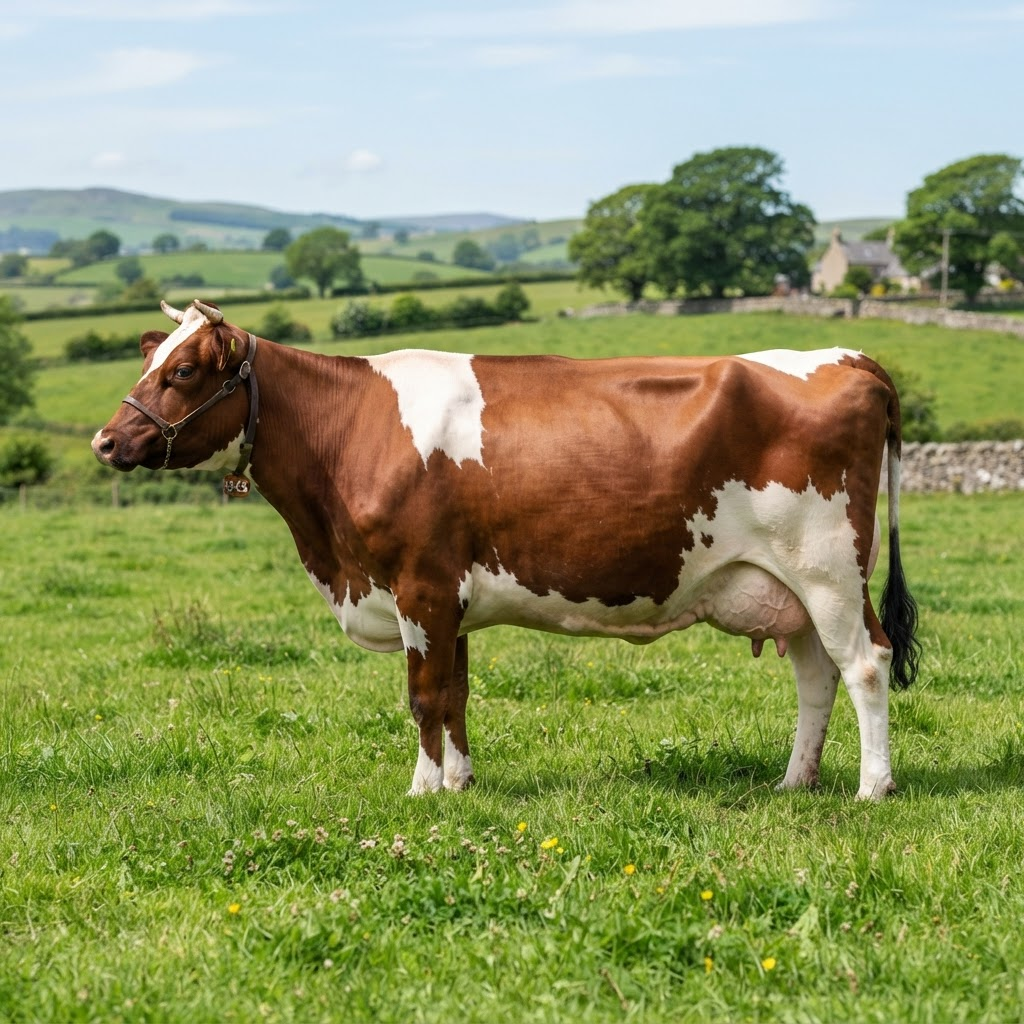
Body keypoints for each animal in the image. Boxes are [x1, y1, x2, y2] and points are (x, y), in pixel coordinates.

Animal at [92, 299, 919, 801]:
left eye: (183, 371)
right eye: (148, 363)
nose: (106, 440)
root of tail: (848, 356)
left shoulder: (420, 585)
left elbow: (424, 696)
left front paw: (422, 791)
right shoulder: (445, 596)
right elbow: (456, 693)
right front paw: (459, 784)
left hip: (829, 568)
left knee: (865, 664)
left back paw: (872, 786)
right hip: (786, 586)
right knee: (815, 676)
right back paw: (795, 781)